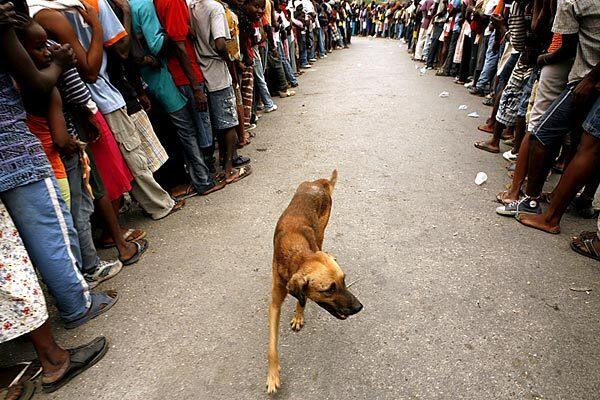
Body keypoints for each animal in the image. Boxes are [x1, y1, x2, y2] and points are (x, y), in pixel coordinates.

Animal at [266, 170, 360, 394]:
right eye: (329, 289)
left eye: (344, 280)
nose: (359, 307)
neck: (298, 255)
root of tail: (319, 182)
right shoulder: (274, 303)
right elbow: (272, 346)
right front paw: (273, 376)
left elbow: (302, 300)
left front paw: (299, 315)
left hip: (322, 228)